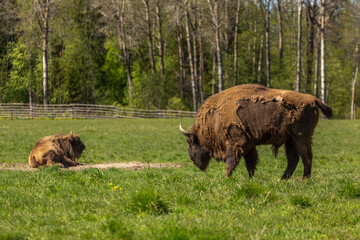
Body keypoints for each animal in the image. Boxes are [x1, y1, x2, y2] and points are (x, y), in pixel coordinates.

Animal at [180, 83, 332, 179]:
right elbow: (250, 163)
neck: (215, 118)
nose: (192, 159)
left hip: (300, 137)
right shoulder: (249, 145)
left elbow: (231, 161)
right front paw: (251, 179)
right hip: (290, 140)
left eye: (190, 142)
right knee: (293, 160)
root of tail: (313, 99)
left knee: (306, 156)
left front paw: (226, 178)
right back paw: (282, 179)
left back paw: (304, 179)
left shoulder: (236, 143)